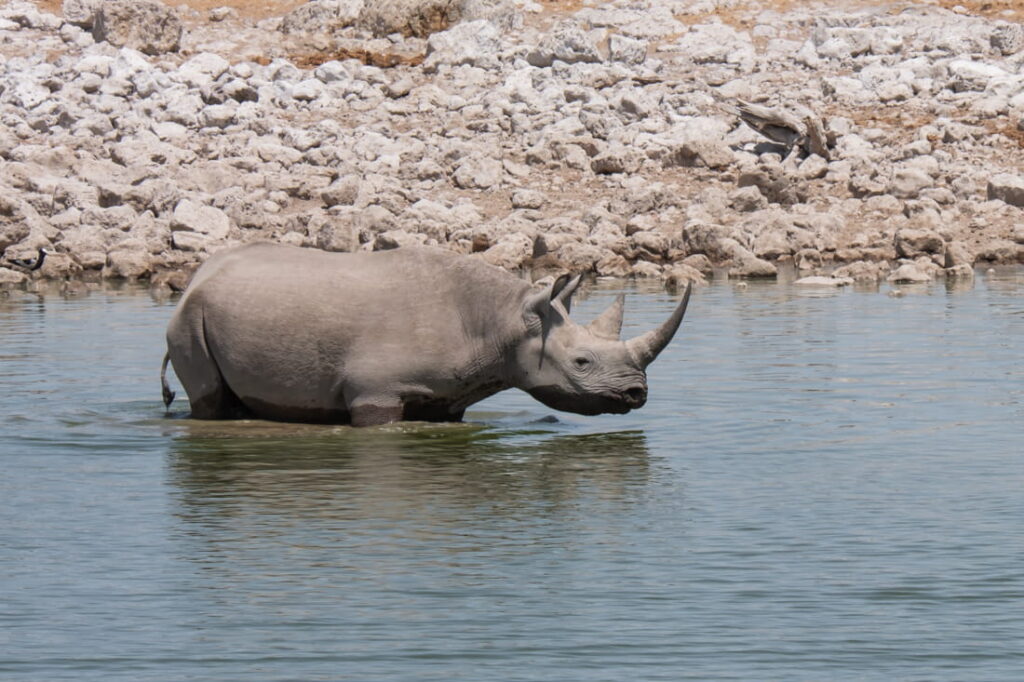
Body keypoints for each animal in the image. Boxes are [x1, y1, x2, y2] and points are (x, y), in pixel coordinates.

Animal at [161, 243, 691, 426]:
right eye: (582, 362)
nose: (637, 394)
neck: (502, 322)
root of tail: (196, 277)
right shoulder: (374, 392)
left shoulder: (448, 394)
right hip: (188, 319)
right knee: (208, 396)